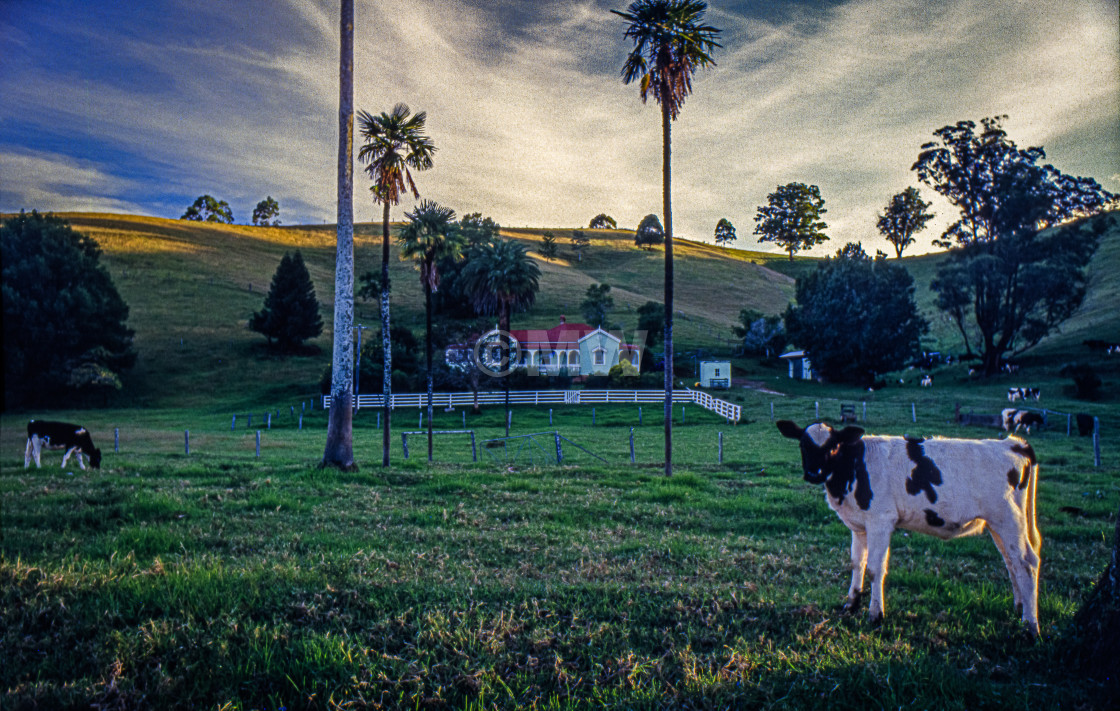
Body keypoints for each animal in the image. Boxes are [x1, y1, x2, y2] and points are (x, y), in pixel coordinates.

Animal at [779, 421, 1039, 635]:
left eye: (833, 446)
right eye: (803, 444)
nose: (814, 473)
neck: (854, 467)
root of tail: (1013, 443)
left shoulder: (881, 521)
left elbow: (874, 569)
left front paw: (876, 615)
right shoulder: (859, 526)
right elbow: (856, 563)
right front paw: (851, 604)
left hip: (1008, 519)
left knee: (1027, 563)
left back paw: (1030, 626)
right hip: (998, 525)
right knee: (1011, 562)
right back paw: (1019, 608)